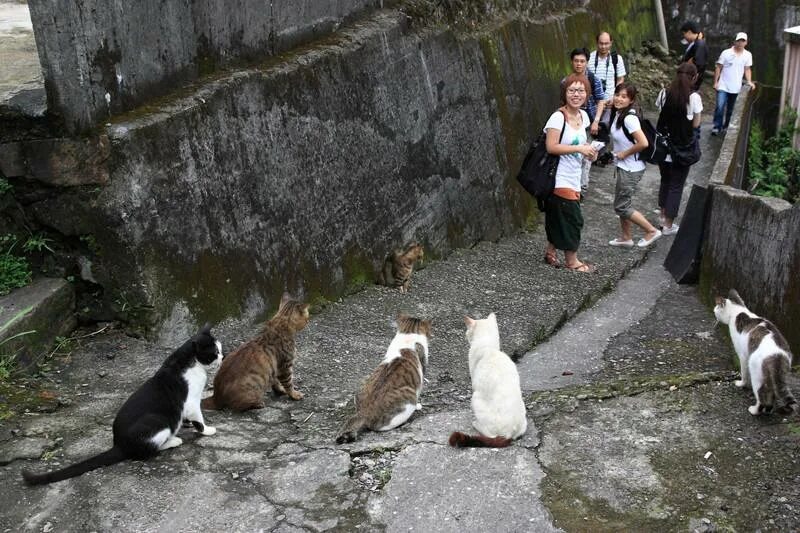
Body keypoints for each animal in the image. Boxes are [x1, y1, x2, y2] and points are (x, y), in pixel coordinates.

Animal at [22, 322, 222, 484]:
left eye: (220, 350)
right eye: (214, 353)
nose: (222, 357)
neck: (186, 361)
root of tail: (118, 444)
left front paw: (188, 425)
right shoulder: (191, 402)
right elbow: (198, 419)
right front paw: (207, 430)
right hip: (158, 421)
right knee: (146, 451)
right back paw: (173, 441)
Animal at [334, 314, 432, 442]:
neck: (408, 335)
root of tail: (363, 412)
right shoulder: (422, 366)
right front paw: (419, 406)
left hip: (364, 380)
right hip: (409, 398)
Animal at [446, 310, 528, 446]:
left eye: (467, 332)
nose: (466, 335)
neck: (489, 348)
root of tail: (509, 434)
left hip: (475, 398)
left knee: (489, 434)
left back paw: (476, 424)